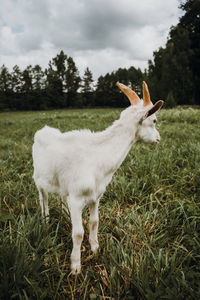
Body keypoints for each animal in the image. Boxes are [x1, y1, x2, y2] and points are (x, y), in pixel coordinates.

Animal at [32, 81, 164, 274]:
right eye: (154, 120)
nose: (158, 139)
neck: (98, 156)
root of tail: (42, 131)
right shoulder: (77, 198)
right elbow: (78, 232)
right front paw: (75, 266)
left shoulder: (96, 196)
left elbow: (94, 221)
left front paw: (95, 248)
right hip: (38, 178)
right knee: (44, 198)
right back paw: (45, 221)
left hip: (63, 185)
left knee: (62, 197)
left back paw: (64, 214)